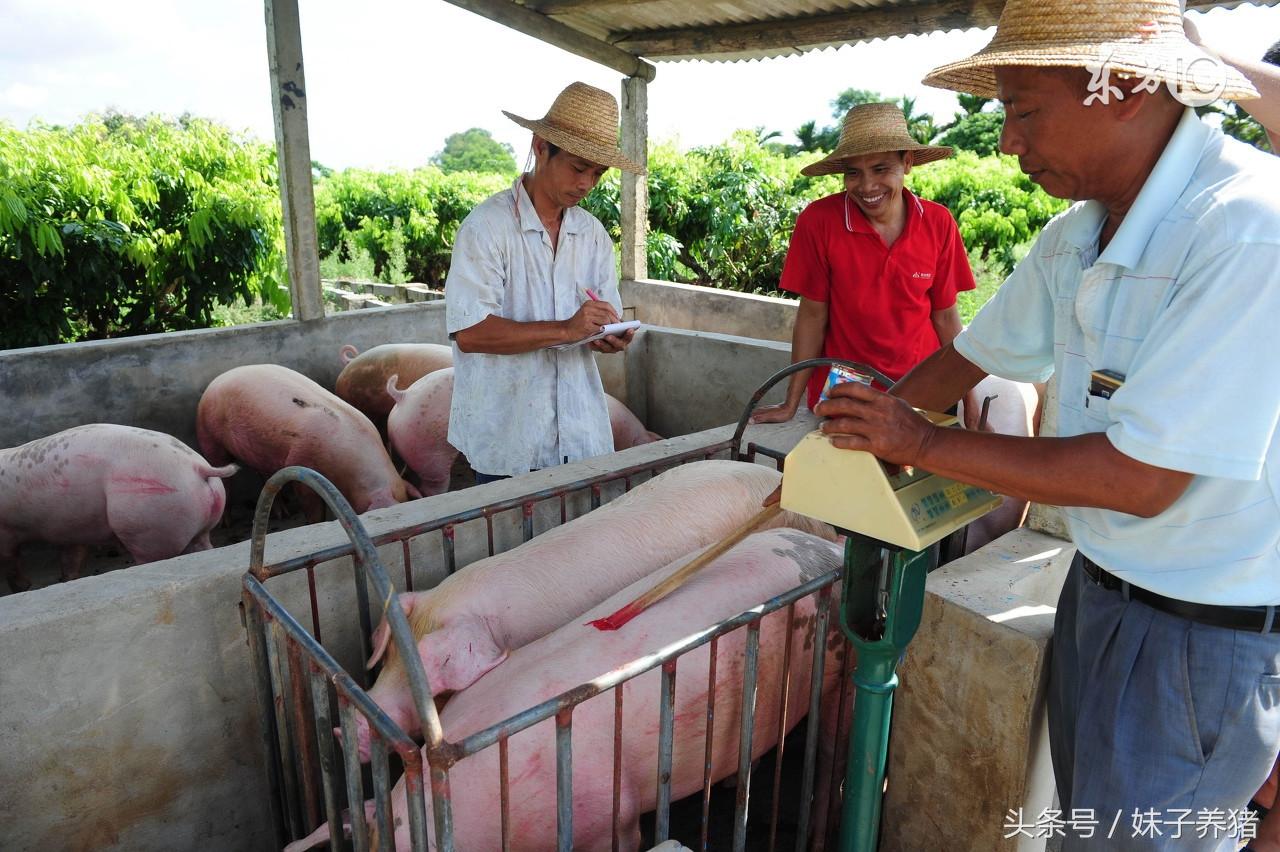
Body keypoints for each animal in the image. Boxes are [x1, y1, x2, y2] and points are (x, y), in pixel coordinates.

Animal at [0, 422, 235, 591]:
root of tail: (198, 466)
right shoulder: (70, 527)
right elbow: (71, 557)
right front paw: (67, 580)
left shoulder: (7, 532)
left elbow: (10, 559)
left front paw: (23, 587)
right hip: (197, 524)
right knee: (203, 546)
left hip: (146, 521)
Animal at [197, 360, 419, 514]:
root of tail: (216, 381)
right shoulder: (301, 463)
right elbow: (312, 508)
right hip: (208, 434)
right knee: (222, 475)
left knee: (263, 474)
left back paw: (282, 513)